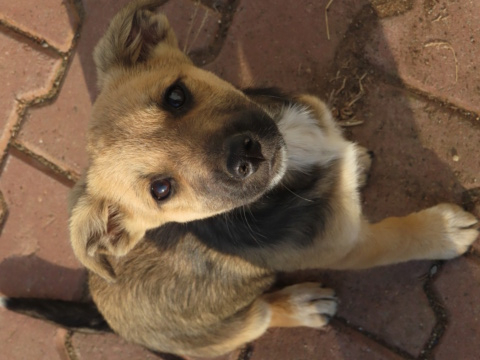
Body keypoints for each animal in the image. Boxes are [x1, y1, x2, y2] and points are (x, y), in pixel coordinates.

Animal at [1, 0, 478, 358]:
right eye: (161, 190)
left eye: (176, 96)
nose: (244, 156)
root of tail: (107, 320)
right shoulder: (347, 247)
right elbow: (397, 238)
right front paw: (444, 231)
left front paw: (354, 162)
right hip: (237, 325)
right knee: (264, 314)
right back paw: (302, 304)